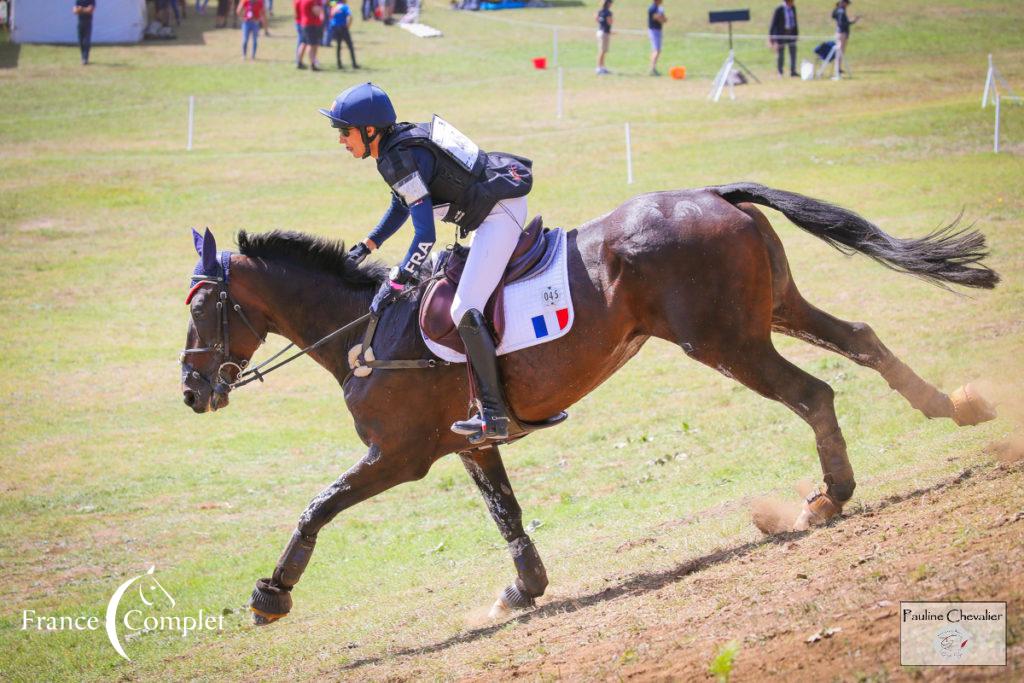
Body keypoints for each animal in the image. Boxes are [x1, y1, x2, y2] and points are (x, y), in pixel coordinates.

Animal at [180, 181, 995, 626]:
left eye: (201, 311)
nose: (190, 392)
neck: (362, 330)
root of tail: (715, 195)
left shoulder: (398, 454)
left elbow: (316, 507)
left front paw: (270, 593)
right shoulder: (472, 442)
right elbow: (507, 516)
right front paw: (522, 591)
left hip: (725, 339)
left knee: (813, 391)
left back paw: (829, 496)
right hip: (774, 309)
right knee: (860, 339)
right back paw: (957, 408)